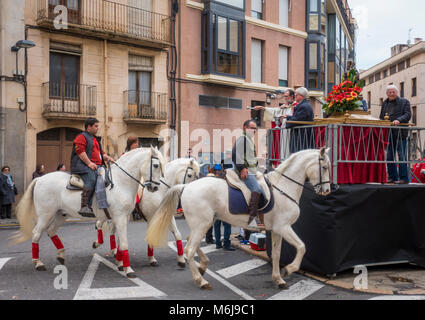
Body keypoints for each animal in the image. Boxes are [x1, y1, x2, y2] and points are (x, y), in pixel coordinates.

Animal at [9, 147, 166, 278]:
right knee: (36, 233)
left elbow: (119, 242)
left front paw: (120, 263)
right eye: (156, 165)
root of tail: (40, 178)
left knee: (51, 231)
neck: (121, 183)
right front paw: (128, 269)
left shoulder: (123, 217)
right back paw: (38, 263)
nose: (154, 188)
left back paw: (61, 255)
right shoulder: (120, 217)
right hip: (45, 215)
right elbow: (124, 243)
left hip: (60, 214)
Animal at [146, 149, 332, 288]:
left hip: (203, 224)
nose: (327, 191)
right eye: (324, 167)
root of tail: (186, 186)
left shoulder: (277, 230)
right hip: (202, 225)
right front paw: (290, 269)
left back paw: (203, 265)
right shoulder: (284, 227)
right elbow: (302, 247)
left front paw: (278, 279)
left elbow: (277, 255)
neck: (283, 188)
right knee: (189, 249)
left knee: (190, 241)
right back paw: (201, 280)